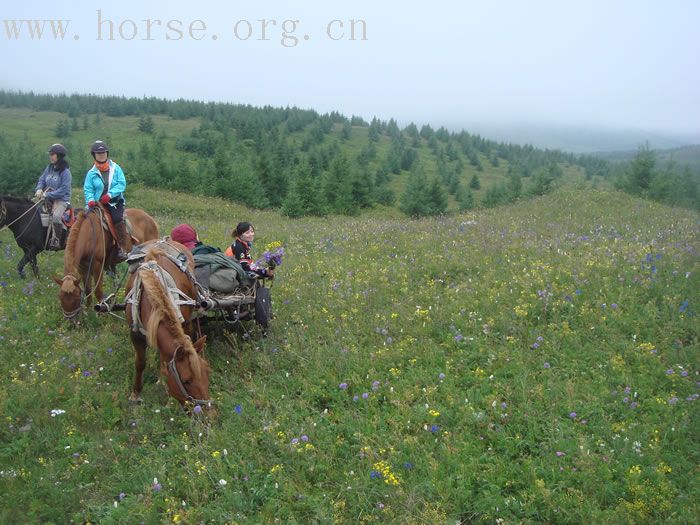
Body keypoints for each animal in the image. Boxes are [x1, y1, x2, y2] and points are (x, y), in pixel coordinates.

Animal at [126, 241, 212, 410]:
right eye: (186, 381)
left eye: (207, 372)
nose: (208, 411)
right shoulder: (135, 334)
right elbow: (140, 363)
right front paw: (136, 394)